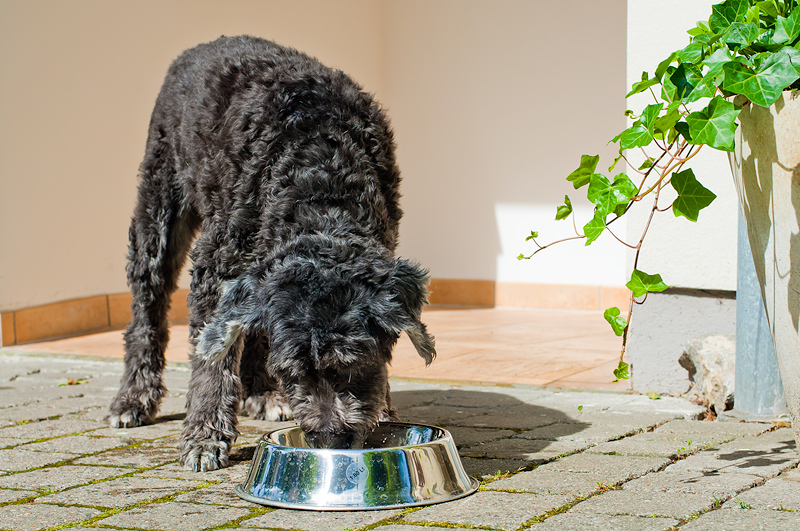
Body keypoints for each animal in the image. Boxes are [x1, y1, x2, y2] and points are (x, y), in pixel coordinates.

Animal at [108, 35, 438, 472]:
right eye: (293, 374)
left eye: (354, 367)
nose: (329, 440)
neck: (321, 184)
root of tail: (198, 48)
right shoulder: (216, 266)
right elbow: (213, 356)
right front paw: (205, 435)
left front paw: (383, 409)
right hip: (159, 213)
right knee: (147, 310)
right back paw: (133, 397)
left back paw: (260, 395)